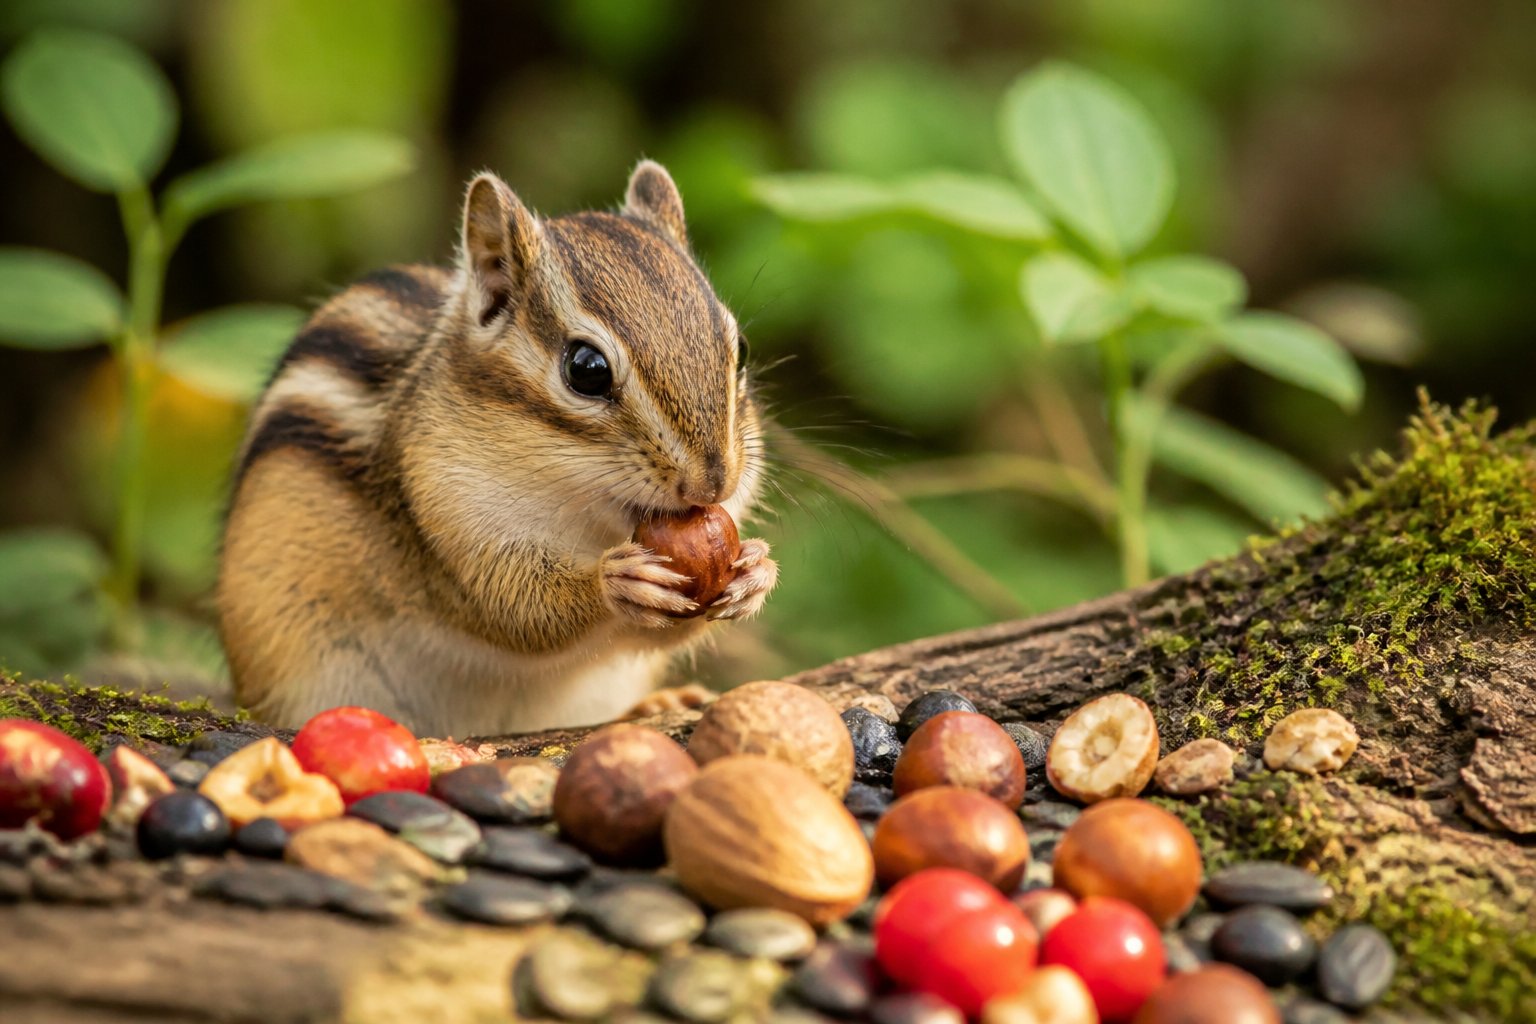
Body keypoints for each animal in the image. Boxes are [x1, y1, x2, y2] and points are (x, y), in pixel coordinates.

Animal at [217, 161, 778, 738]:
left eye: (740, 353)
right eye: (586, 369)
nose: (713, 483)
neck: (581, 511)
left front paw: (756, 570)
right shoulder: (440, 511)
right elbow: (514, 610)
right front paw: (615, 579)